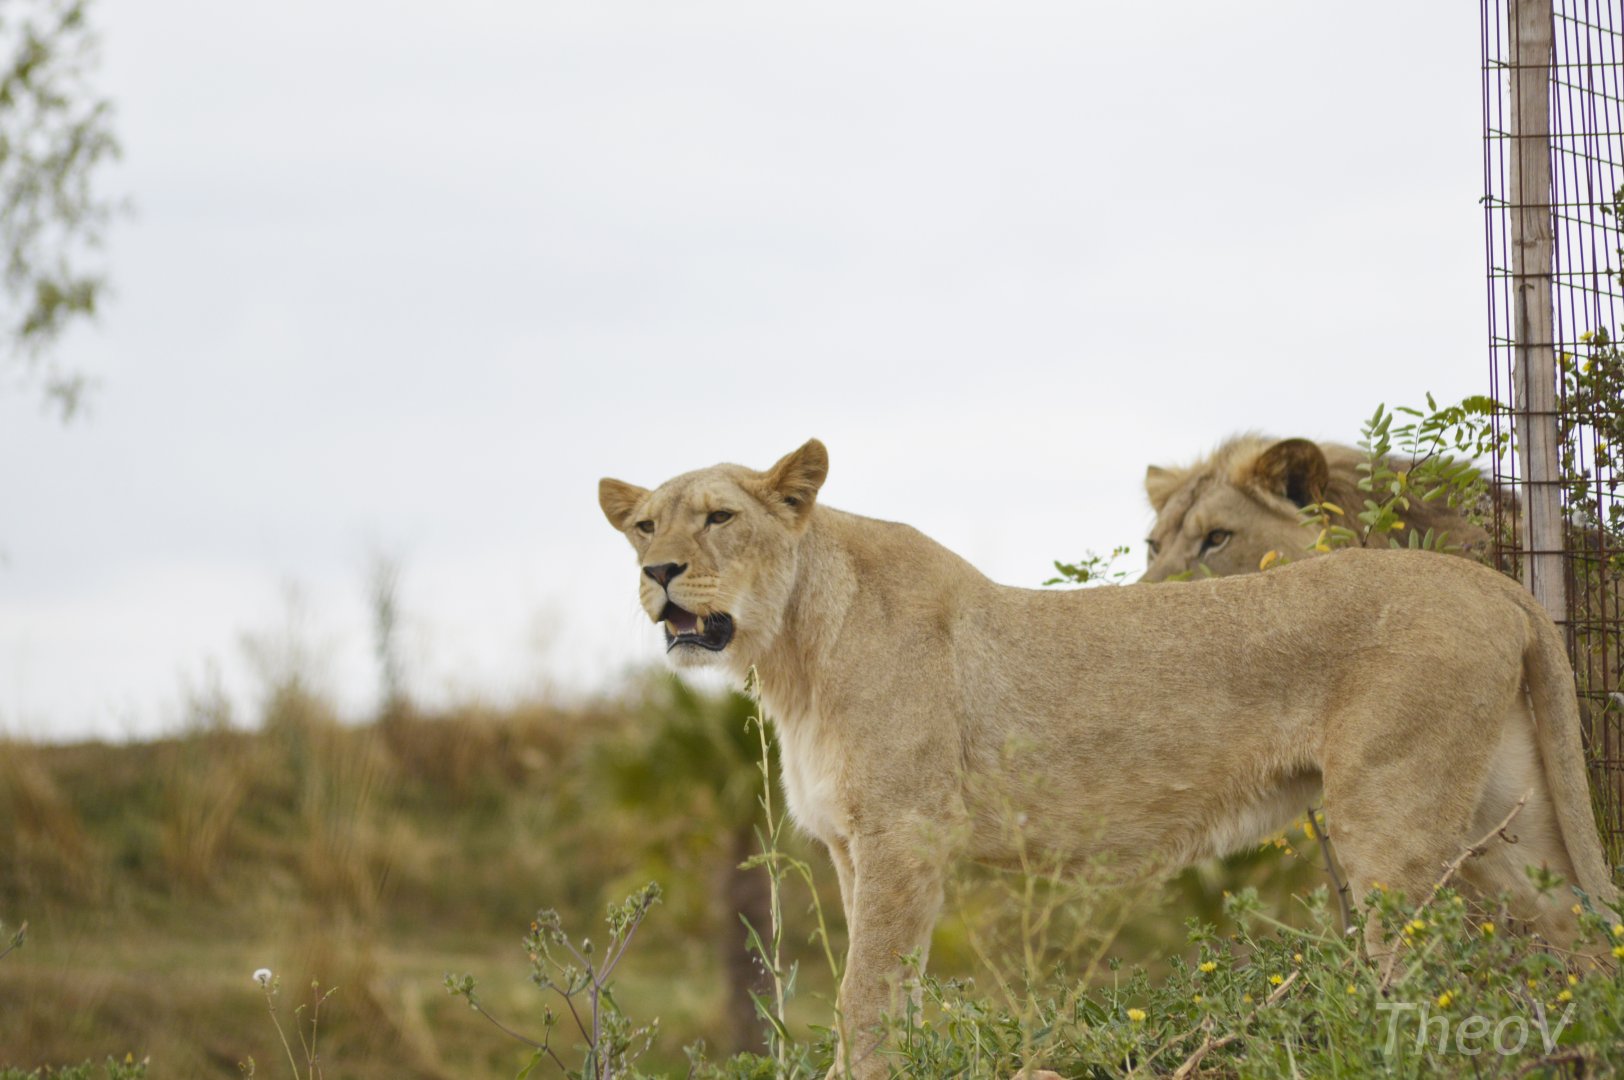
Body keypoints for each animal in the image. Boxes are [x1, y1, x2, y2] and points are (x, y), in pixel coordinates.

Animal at [600, 439, 1616, 1078]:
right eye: (646, 527)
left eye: (719, 517)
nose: (657, 576)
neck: (790, 650)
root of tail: (1490, 581)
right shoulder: (857, 848)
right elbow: (894, 993)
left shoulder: (903, 838)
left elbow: (866, 996)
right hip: (1504, 819)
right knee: (1580, 934)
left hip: (1392, 821)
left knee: (1429, 972)